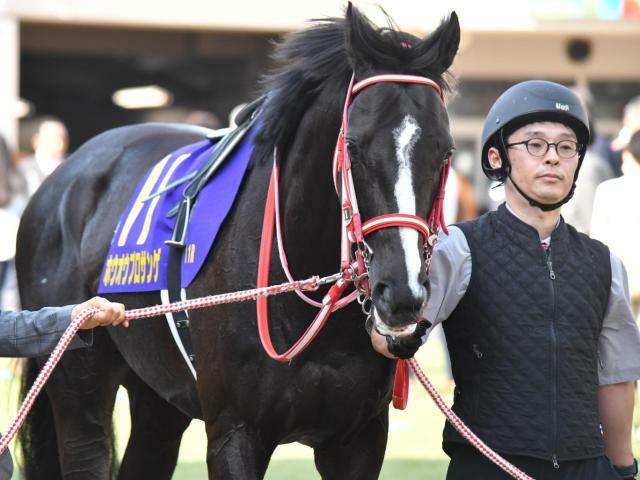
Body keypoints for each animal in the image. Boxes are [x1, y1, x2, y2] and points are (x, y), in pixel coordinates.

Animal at [17, 5, 458, 478]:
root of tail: (59, 179)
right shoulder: (235, 431)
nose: (402, 293)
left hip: (158, 400)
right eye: (354, 147)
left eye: (445, 151)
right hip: (77, 379)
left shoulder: (359, 439)